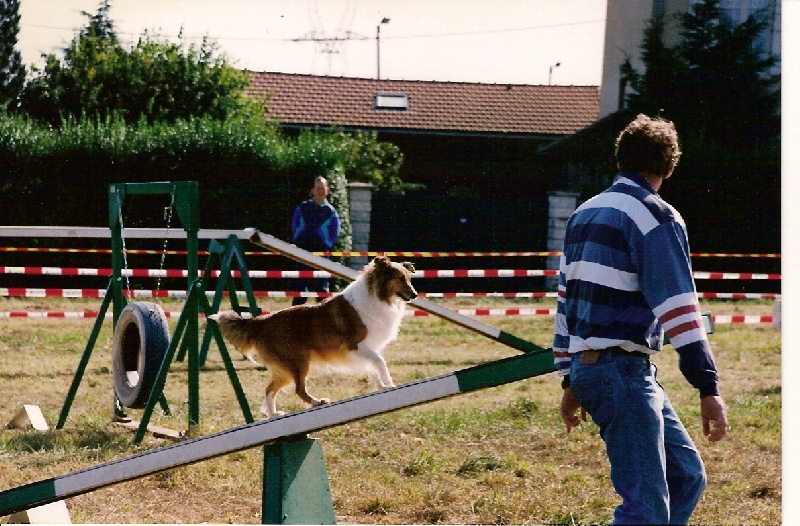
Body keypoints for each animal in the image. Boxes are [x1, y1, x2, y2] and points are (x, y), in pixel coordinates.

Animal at [209, 256, 416, 420]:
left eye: (409, 278)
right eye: (400, 278)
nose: (414, 295)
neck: (377, 296)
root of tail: (264, 321)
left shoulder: (368, 348)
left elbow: (373, 367)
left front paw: (381, 386)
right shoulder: (356, 346)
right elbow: (379, 362)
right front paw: (389, 384)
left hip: (286, 369)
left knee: (269, 389)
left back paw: (274, 414)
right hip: (299, 362)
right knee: (298, 390)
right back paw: (317, 402)